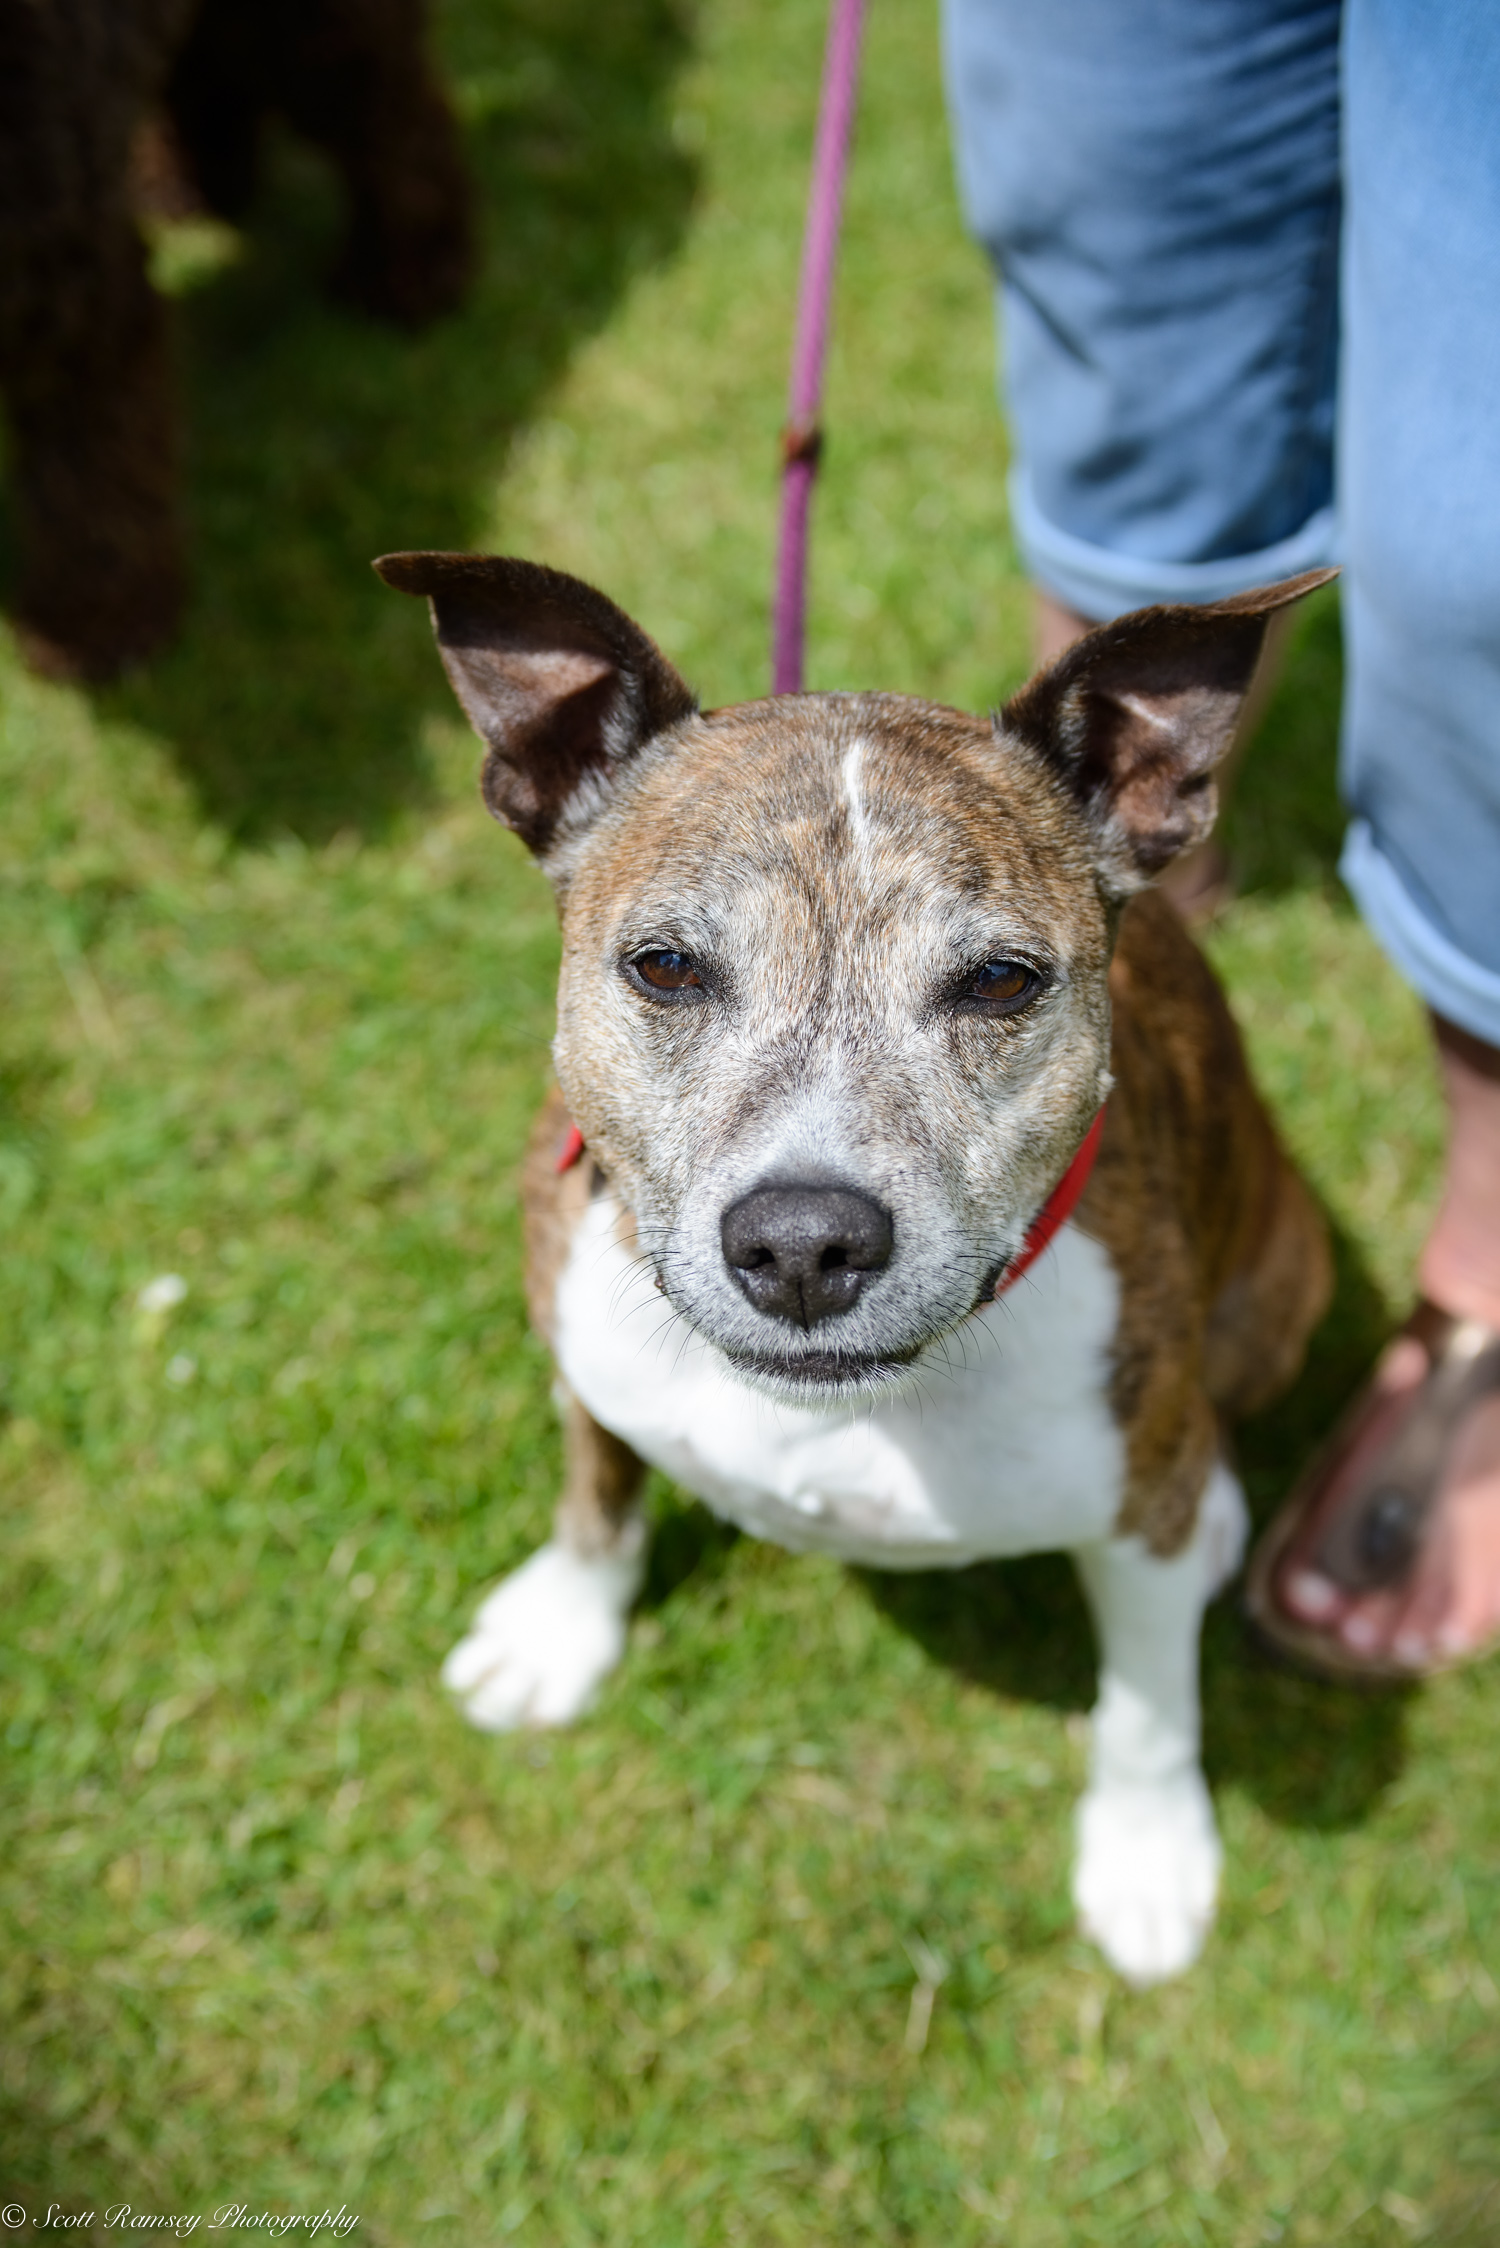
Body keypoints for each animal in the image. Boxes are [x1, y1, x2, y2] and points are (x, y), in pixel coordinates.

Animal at [382, 557, 1331, 1987]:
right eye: (666, 965)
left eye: (1000, 982)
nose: (803, 1243)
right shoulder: (581, 1348)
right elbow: (599, 1488)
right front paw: (562, 1630)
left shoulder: (1142, 1519)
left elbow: (1149, 1705)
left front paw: (1149, 1853)